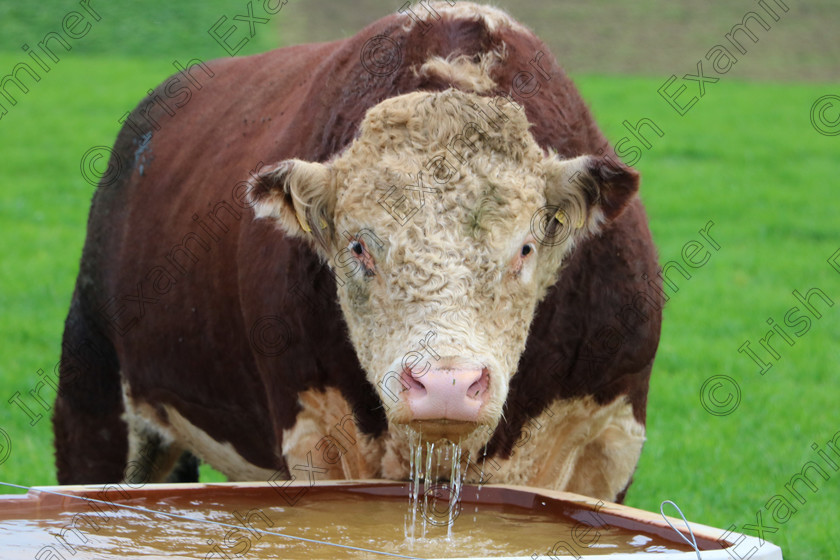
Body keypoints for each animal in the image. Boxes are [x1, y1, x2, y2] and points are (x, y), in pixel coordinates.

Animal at [55, 2, 668, 500]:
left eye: (525, 247)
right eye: (358, 248)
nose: (445, 386)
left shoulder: (609, 445)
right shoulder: (317, 443)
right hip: (92, 396)